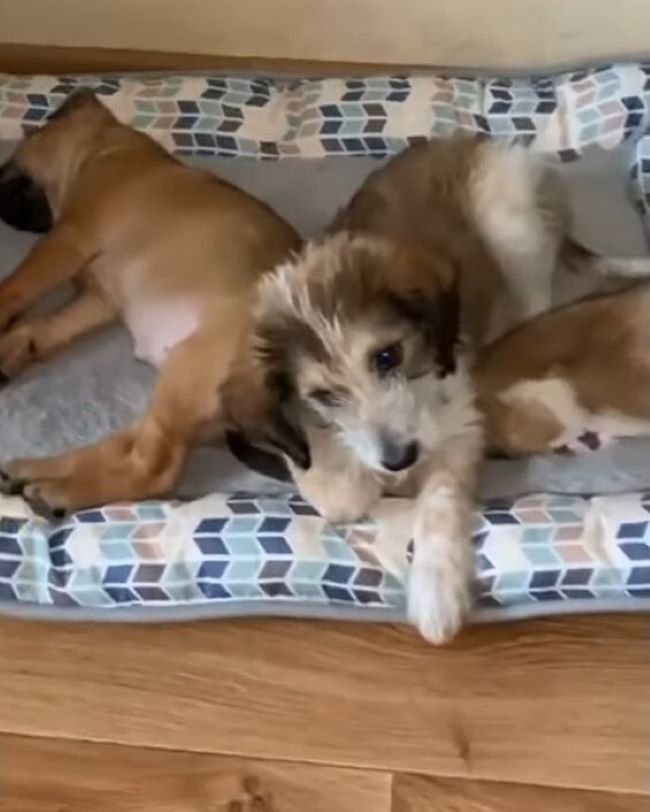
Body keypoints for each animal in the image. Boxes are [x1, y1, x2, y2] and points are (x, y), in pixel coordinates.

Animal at [0, 89, 306, 516]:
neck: (104, 146)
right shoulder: (98, 299)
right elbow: (46, 327)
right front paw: (13, 347)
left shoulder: (69, 239)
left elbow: (16, 287)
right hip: (186, 398)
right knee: (122, 446)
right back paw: (37, 470)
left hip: (190, 370)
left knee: (153, 468)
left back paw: (59, 492)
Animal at [232, 141, 648, 648]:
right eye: (326, 395)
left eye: (387, 356)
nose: (399, 460)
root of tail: (461, 139)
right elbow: (340, 493)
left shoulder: (461, 428)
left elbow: (441, 502)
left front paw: (436, 591)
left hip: (513, 221)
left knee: (535, 305)